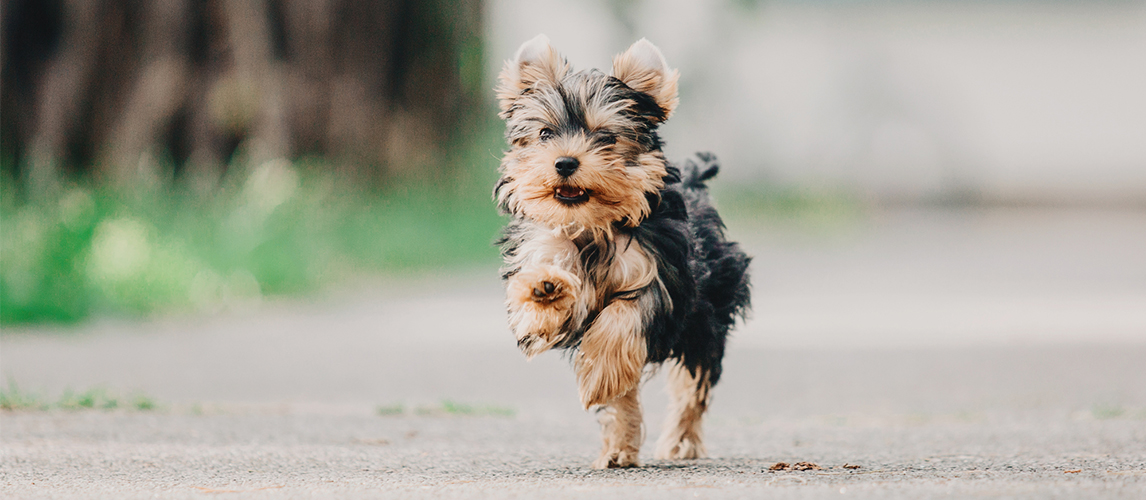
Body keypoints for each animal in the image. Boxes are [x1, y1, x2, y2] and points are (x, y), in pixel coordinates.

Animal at [495, 36, 751, 467]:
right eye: (545, 133)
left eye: (605, 137)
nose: (565, 162)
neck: (595, 222)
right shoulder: (548, 241)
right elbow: (543, 284)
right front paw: (544, 289)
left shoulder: (661, 275)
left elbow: (624, 318)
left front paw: (598, 373)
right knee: (626, 389)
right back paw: (620, 443)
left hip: (707, 315)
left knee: (692, 381)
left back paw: (680, 440)